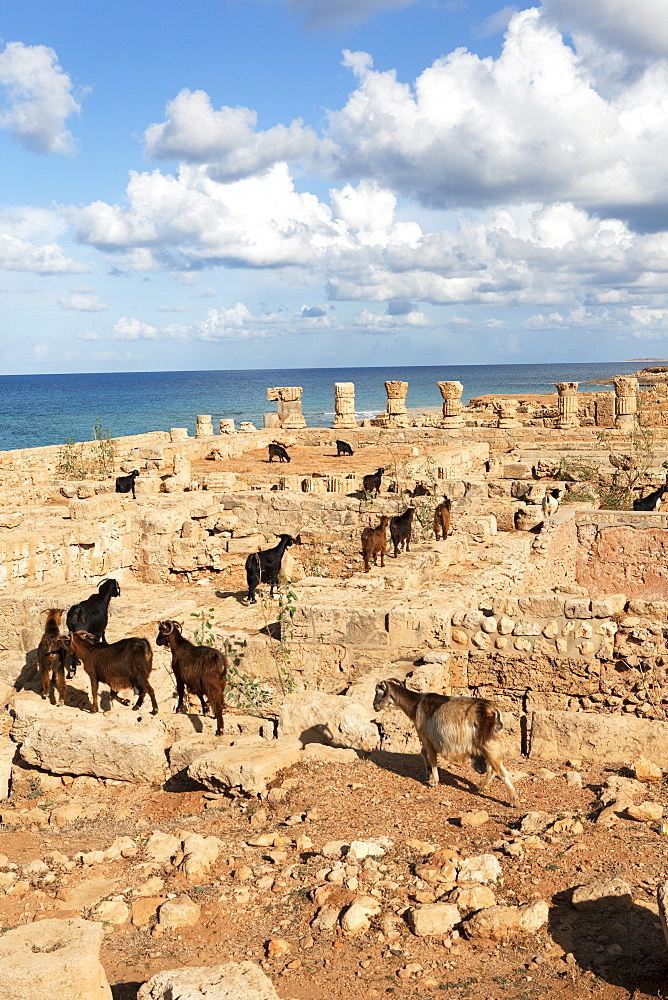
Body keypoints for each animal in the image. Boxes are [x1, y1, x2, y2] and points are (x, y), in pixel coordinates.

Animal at [374, 676, 520, 808]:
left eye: (378, 690)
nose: (374, 706)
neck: (416, 705)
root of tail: (493, 711)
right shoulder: (427, 741)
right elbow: (423, 753)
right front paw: (428, 774)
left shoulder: (427, 739)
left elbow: (432, 758)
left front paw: (434, 781)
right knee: (493, 769)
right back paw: (481, 786)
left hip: (489, 746)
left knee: (501, 771)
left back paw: (513, 800)